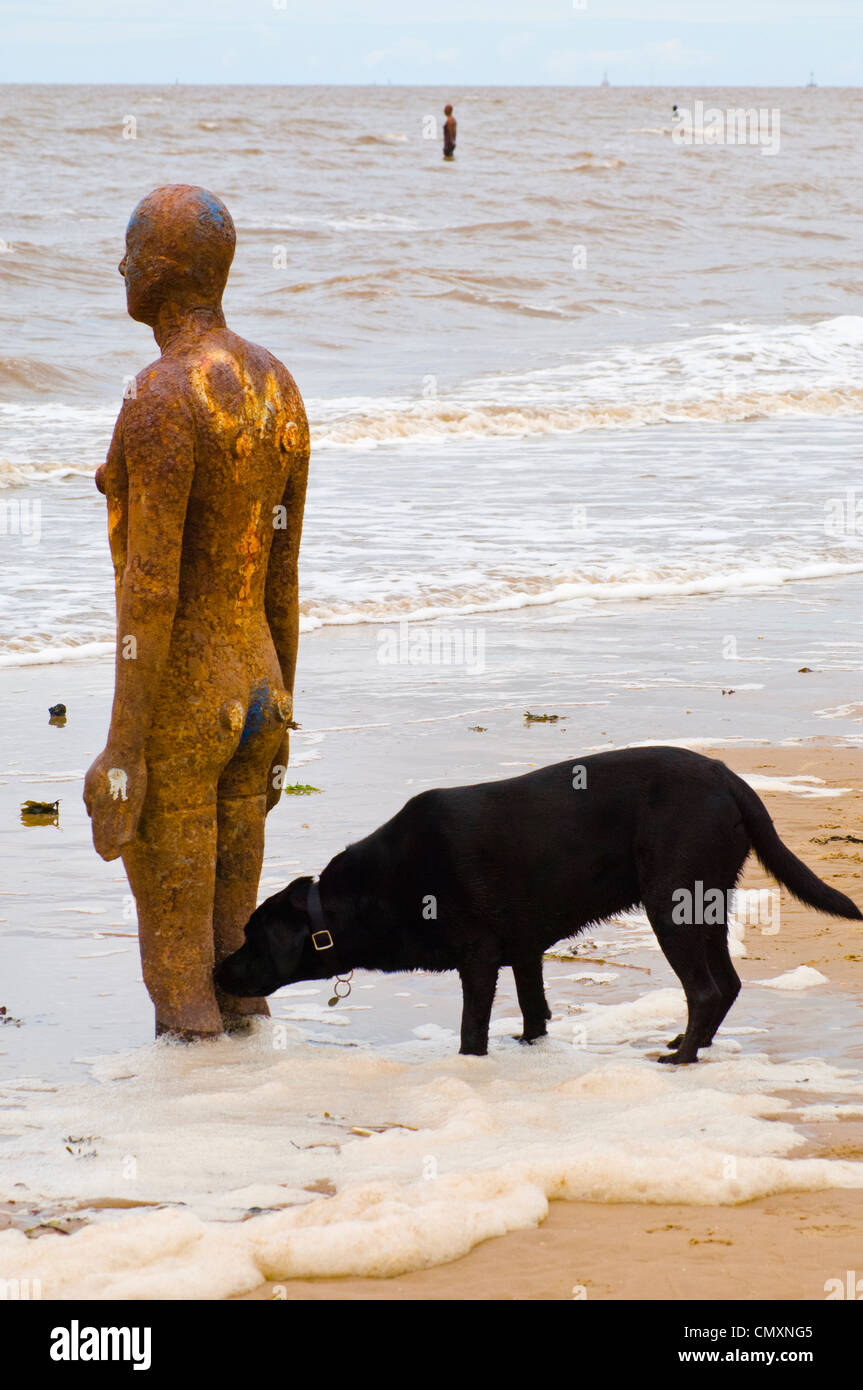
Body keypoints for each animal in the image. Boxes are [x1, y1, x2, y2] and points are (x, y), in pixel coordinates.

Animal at [214, 750, 856, 1061]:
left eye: (249, 937)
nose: (216, 969)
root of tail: (729, 778)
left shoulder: (477, 959)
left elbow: (473, 1025)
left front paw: (471, 1062)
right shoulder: (523, 953)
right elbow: (533, 1009)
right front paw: (528, 1046)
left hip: (669, 904)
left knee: (703, 989)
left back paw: (682, 1059)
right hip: (707, 903)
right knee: (727, 984)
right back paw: (688, 1044)